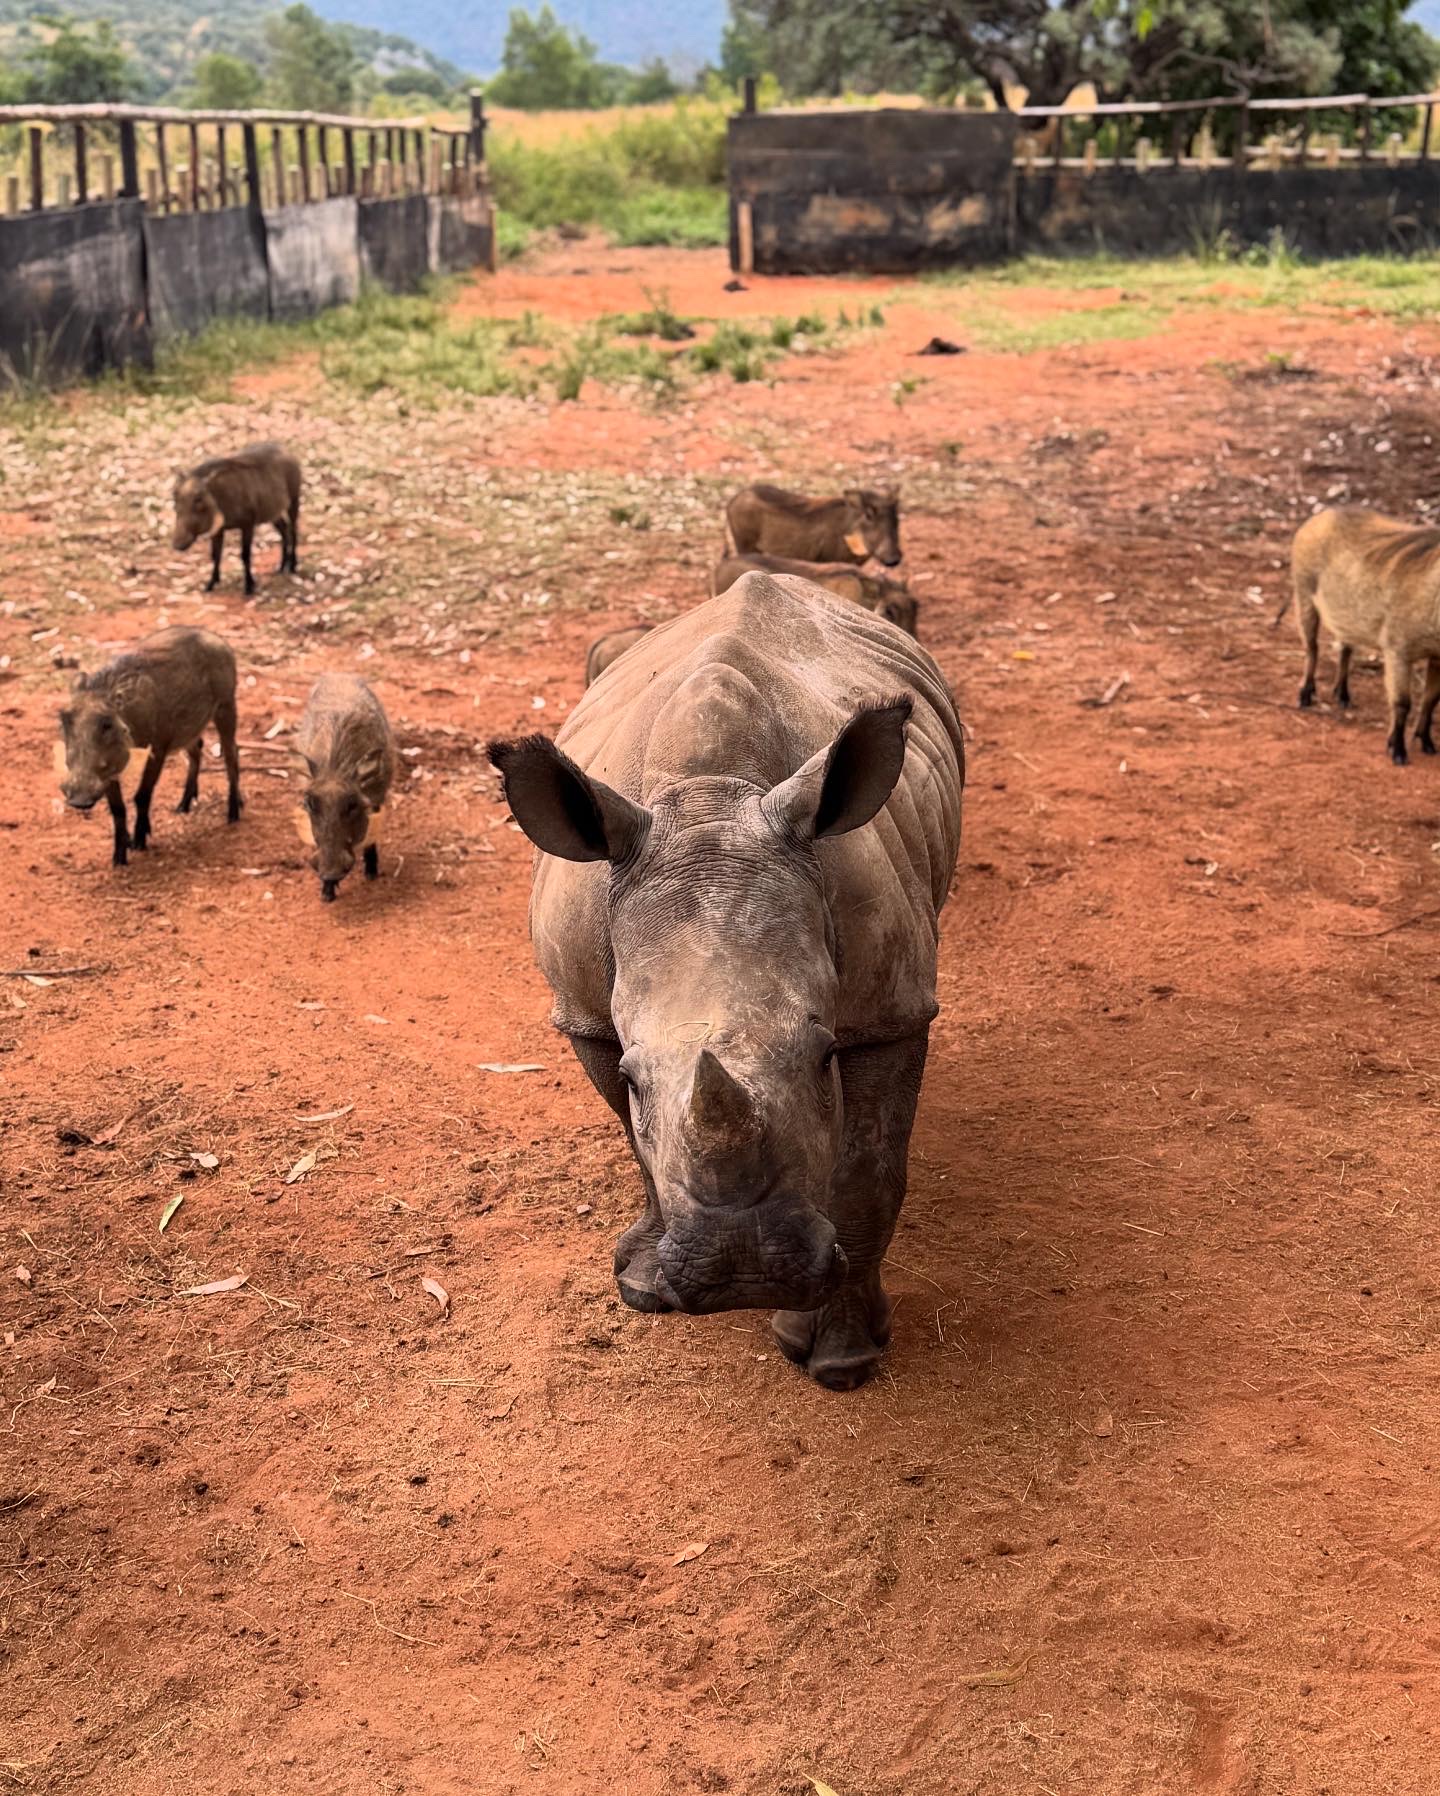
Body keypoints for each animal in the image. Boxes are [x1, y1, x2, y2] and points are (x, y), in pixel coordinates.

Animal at [489, 572, 964, 1389]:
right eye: (634, 1075)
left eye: (823, 1059)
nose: (746, 1269)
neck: (709, 797)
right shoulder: (585, 1011)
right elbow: (636, 1140)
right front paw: (645, 1286)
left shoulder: (891, 1009)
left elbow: (869, 1170)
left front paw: (841, 1358)